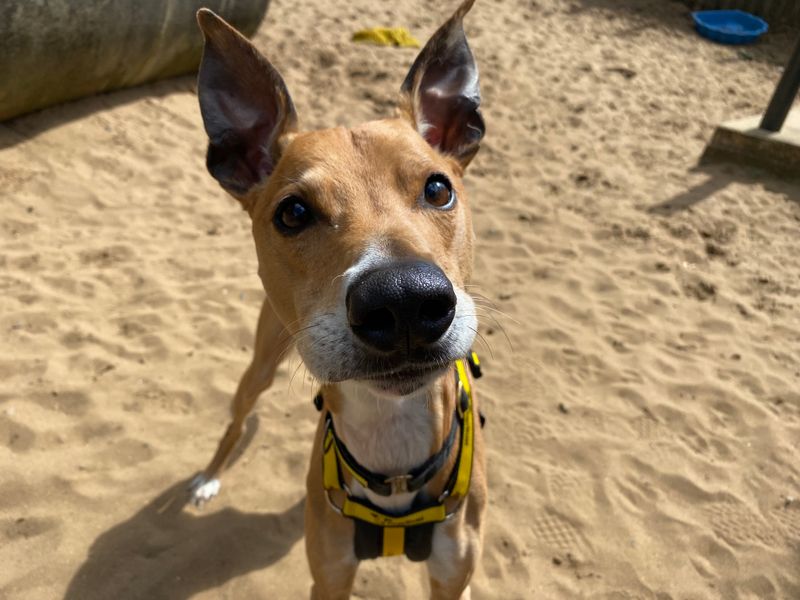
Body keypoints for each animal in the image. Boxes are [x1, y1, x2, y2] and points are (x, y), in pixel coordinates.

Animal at [191, 2, 488, 596]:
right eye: (293, 212)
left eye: (438, 188)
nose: (404, 302)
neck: (392, 448)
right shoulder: (328, 577)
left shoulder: (453, 579)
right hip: (261, 362)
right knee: (236, 420)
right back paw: (210, 477)